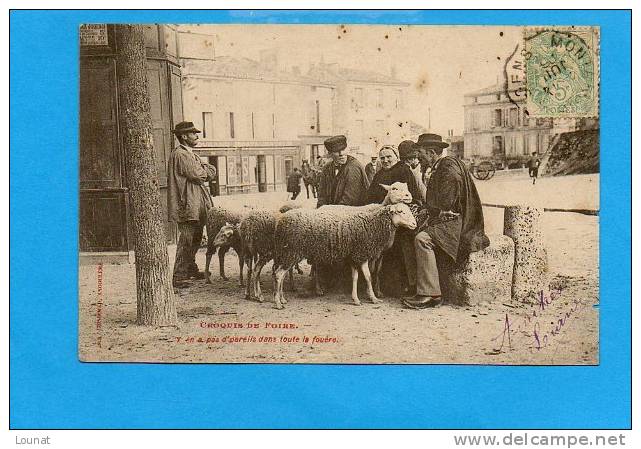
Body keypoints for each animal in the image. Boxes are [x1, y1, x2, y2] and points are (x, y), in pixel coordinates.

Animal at [270, 202, 416, 308]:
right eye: (401, 212)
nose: (415, 224)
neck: (372, 225)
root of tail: (281, 221)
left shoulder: (355, 257)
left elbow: (357, 277)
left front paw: (359, 299)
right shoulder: (361, 254)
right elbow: (367, 277)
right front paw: (371, 298)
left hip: (287, 253)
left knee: (281, 275)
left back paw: (283, 299)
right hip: (291, 251)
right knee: (278, 275)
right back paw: (278, 303)